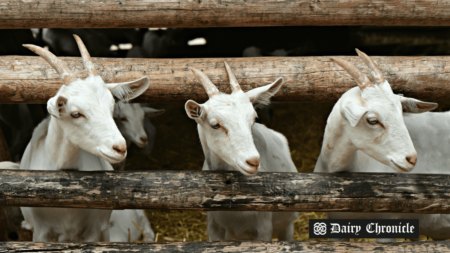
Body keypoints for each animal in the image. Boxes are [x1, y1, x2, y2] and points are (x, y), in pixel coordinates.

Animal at [185, 62, 298, 240]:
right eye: (215, 124)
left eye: (254, 119)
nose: (253, 161)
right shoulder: (214, 227)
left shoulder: (263, 228)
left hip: (288, 225)